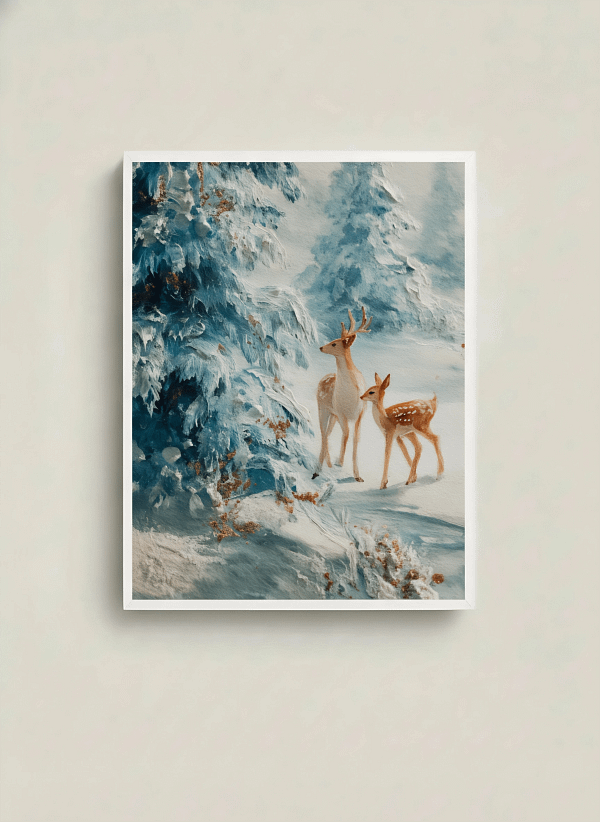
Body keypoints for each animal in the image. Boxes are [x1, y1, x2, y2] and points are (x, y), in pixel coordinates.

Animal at [313, 307, 373, 482]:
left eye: (334, 343)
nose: (321, 347)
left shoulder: (359, 413)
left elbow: (355, 439)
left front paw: (357, 475)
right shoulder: (341, 413)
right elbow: (346, 435)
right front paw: (340, 463)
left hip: (333, 415)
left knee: (328, 433)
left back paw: (328, 464)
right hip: (323, 409)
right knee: (323, 434)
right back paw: (319, 468)